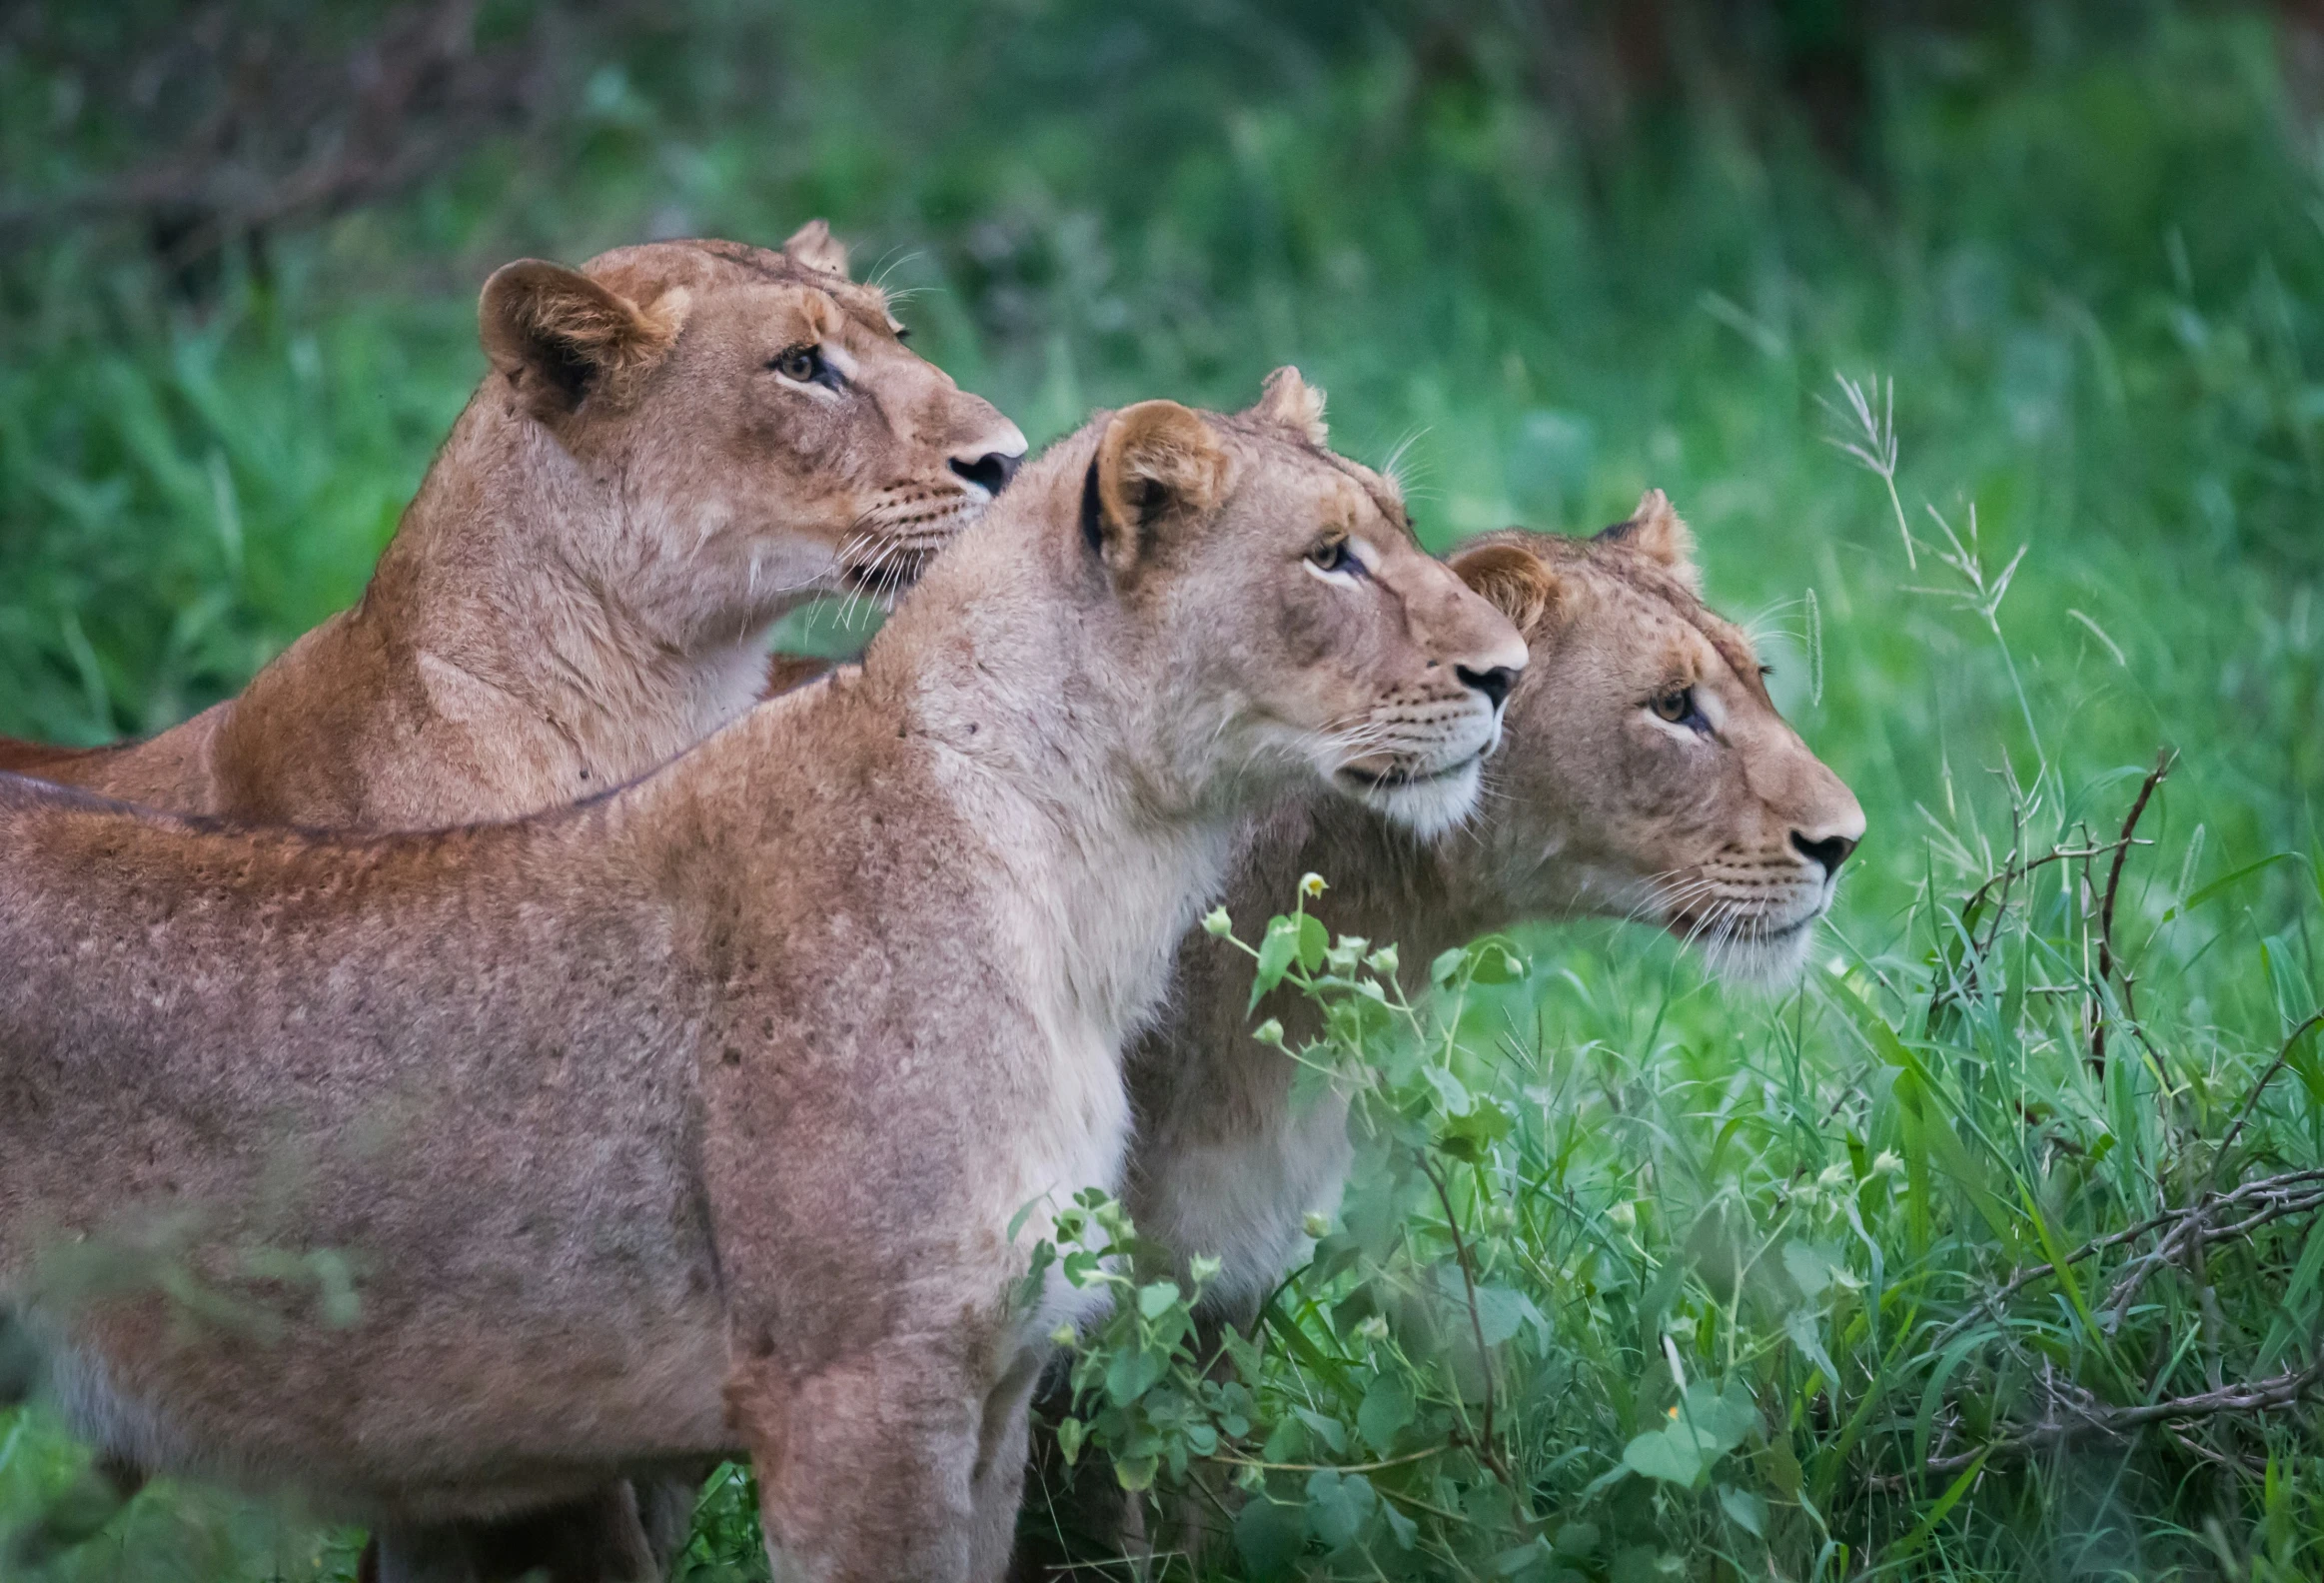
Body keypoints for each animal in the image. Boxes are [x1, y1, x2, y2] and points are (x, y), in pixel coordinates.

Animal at [0, 374, 1524, 1580]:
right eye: (1329, 559)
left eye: (1399, 527)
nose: (1507, 673)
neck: (1091, 874)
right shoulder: (859, 1385)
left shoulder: (992, 1386)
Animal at [1017, 486, 1868, 1571]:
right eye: (1672, 707)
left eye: (1759, 681)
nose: (1845, 843)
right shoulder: (1070, 1319)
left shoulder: (1225, 1286)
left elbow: (1200, 1510)